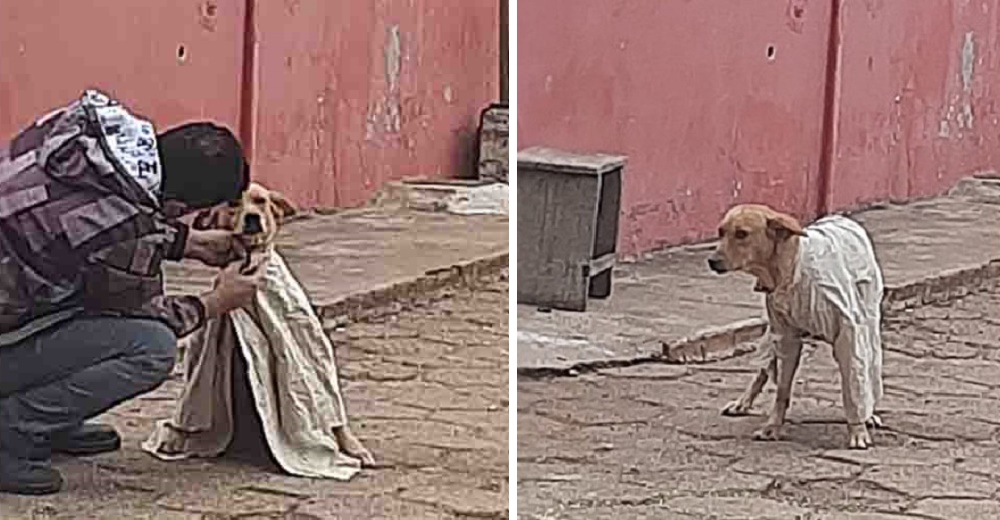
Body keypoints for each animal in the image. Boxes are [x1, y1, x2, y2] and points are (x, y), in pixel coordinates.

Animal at [708, 205, 888, 448]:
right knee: (763, 368)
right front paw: (772, 427)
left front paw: (858, 429)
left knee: (868, 372)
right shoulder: (785, 337)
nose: (711, 260)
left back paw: (869, 414)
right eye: (721, 232)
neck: (789, 270)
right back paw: (743, 402)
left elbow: (854, 388)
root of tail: (842, 218)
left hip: (868, 322)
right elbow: (781, 390)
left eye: (742, 234)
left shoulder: (849, 334)